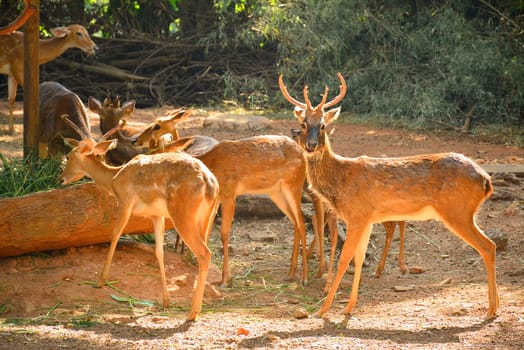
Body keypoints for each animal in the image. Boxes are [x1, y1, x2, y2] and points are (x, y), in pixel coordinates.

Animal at [58, 116, 219, 322]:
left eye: (69, 156)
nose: (60, 179)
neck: (114, 179)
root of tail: (211, 185)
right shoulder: (156, 215)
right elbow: (159, 251)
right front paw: (166, 301)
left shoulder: (125, 202)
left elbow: (115, 234)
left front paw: (100, 281)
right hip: (206, 218)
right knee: (204, 253)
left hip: (184, 216)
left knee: (204, 253)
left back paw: (192, 312)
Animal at [280, 72, 498, 318]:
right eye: (303, 124)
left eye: (324, 125)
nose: (311, 145)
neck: (341, 179)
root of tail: (486, 180)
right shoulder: (366, 219)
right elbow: (359, 258)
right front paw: (348, 307)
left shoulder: (357, 215)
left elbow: (345, 259)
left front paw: (323, 310)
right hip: (462, 212)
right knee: (490, 246)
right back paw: (494, 308)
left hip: (458, 211)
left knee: (488, 246)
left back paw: (491, 310)